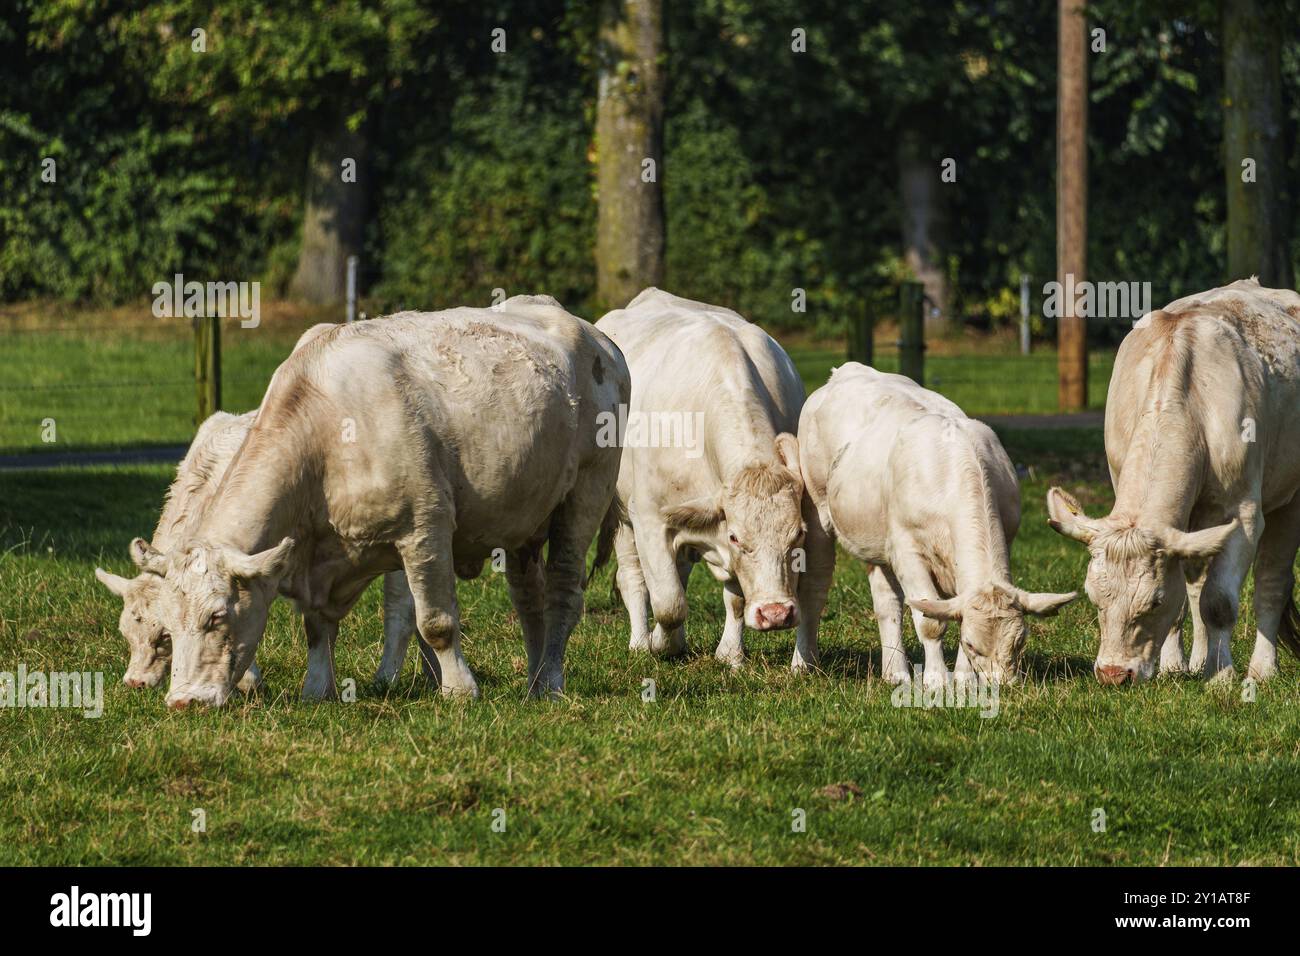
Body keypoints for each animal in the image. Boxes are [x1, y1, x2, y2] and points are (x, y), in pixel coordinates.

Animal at [94, 411, 430, 692]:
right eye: (125, 632)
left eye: (164, 635)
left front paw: (249, 680)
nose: (135, 682)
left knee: (403, 608)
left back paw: (388, 678)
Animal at [137, 296, 628, 708]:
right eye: (167, 628)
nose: (183, 701)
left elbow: (436, 623)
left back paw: (551, 682)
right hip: (524, 518)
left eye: (217, 616)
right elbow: (316, 626)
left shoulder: (425, 529)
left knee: (563, 592)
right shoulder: (318, 555)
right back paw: (534, 679)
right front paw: (317, 689)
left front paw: (459, 691)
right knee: (529, 599)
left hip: (587, 491)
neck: (324, 435)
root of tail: (595, 335)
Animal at [593, 288, 827, 670]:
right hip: (620, 514)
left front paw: (730, 654)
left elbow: (734, 598)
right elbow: (669, 602)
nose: (775, 613)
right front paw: (661, 644)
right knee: (633, 578)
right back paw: (641, 642)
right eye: (736, 537)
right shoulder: (650, 518)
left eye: (798, 534)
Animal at [799, 364, 1076, 685]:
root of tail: (848, 370)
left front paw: (964, 681)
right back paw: (803, 663)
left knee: (886, 603)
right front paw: (936, 680)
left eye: (1020, 641)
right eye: (972, 644)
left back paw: (896, 672)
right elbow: (930, 622)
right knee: (815, 586)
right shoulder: (907, 551)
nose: (1003, 686)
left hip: (876, 539)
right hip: (818, 509)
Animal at [1047, 278, 1300, 684]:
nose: (1114, 674)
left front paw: (1221, 676)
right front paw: (1173, 666)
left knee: (1271, 582)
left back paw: (1262, 669)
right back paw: (1197, 660)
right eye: (1093, 597)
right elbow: (1190, 598)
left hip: (1290, 501)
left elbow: (1219, 601)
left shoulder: (1243, 514)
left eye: (1154, 601)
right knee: (1197, 585)